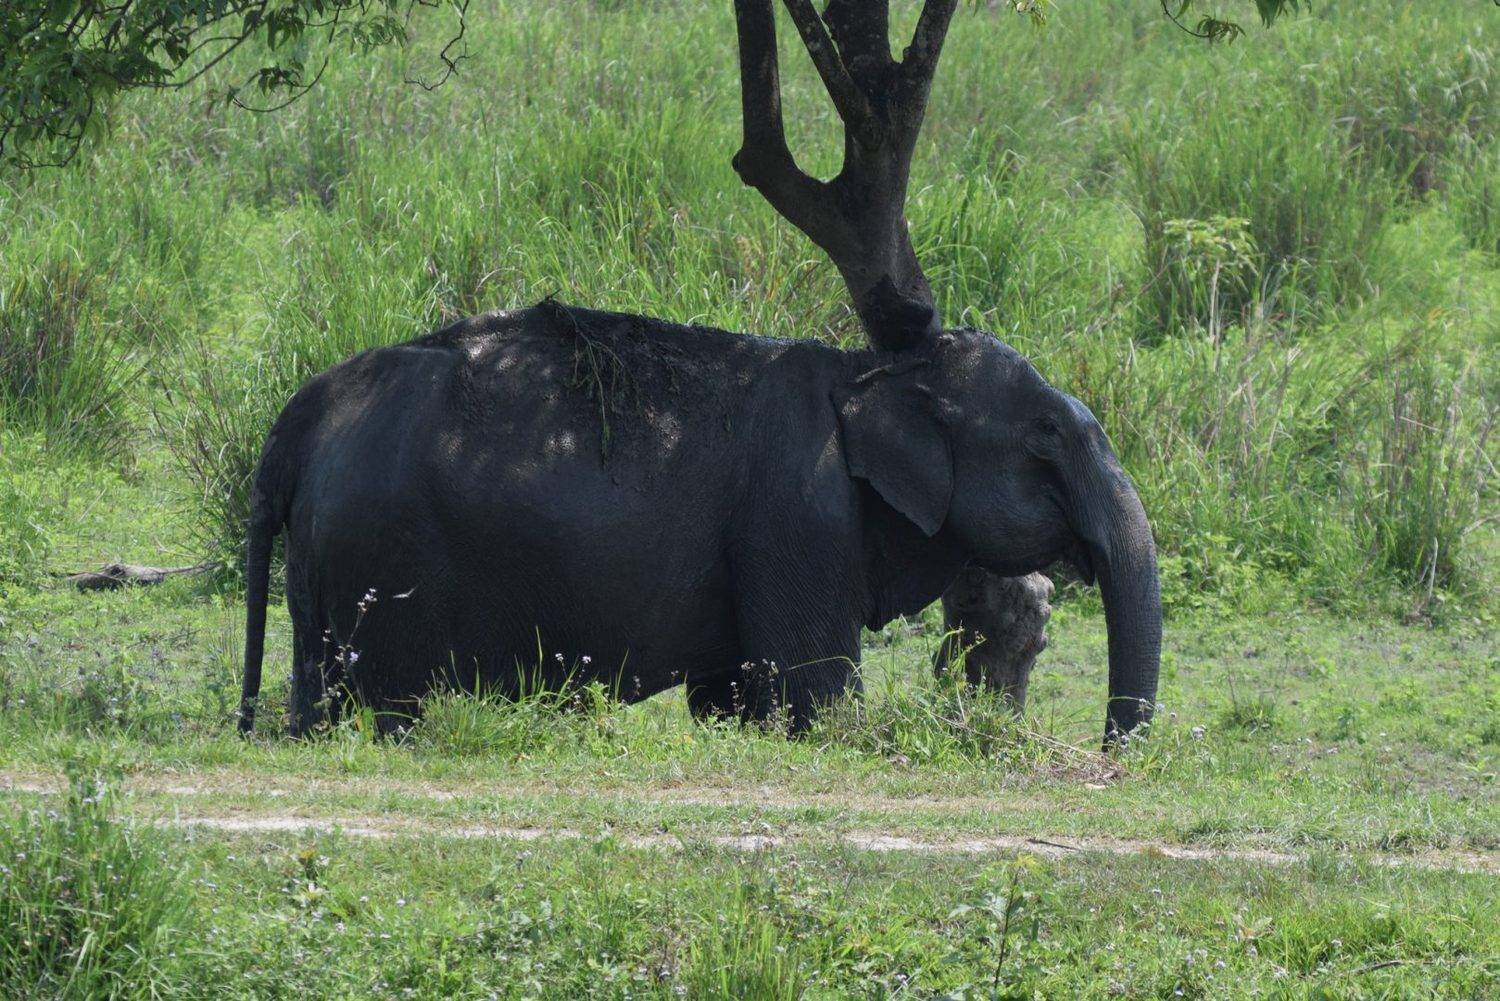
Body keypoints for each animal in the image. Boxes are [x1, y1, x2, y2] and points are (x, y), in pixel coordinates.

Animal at [238, 301, 1160, 743]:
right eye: (1049, 433)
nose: (1108, 751)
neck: (869, 370)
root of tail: (302, 414)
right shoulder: (800, 516)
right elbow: (817, 698)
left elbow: (732, 701)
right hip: (382, 555)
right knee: (396, 702)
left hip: (319, 566)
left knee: (319, 692)